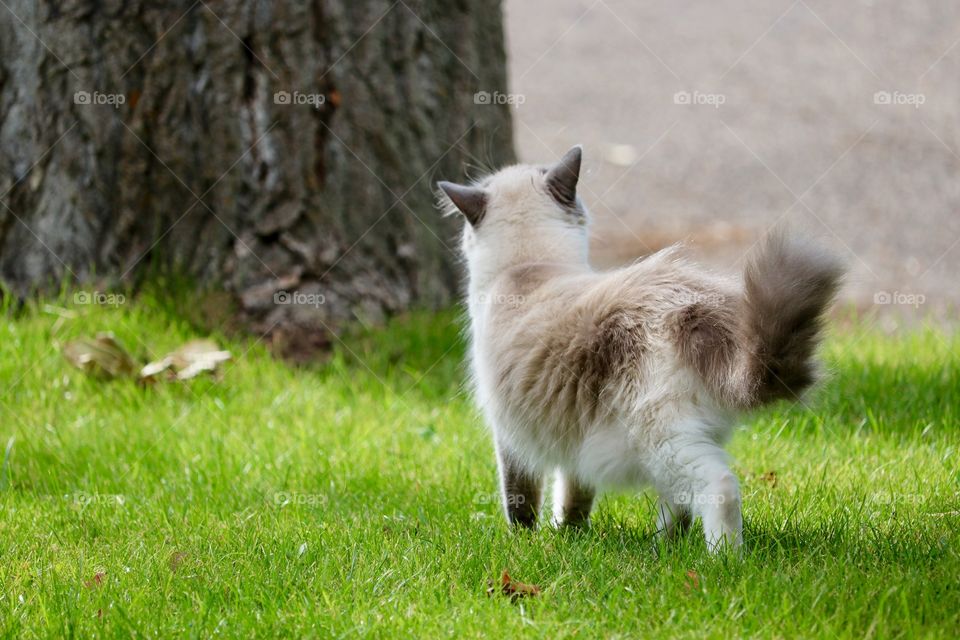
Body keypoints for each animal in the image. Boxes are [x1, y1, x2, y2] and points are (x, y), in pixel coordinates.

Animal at [436, 145, 840, 552]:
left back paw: (721, 559)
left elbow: (521, 499)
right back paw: (663, 549)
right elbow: (574, 495)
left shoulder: (510, 434)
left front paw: (526, 540)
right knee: (679, 504)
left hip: (659, 438)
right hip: (682, 438)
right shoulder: (573, 435)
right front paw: (569, 533)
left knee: (719, 488)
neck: (529, 266)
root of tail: (694, 306)